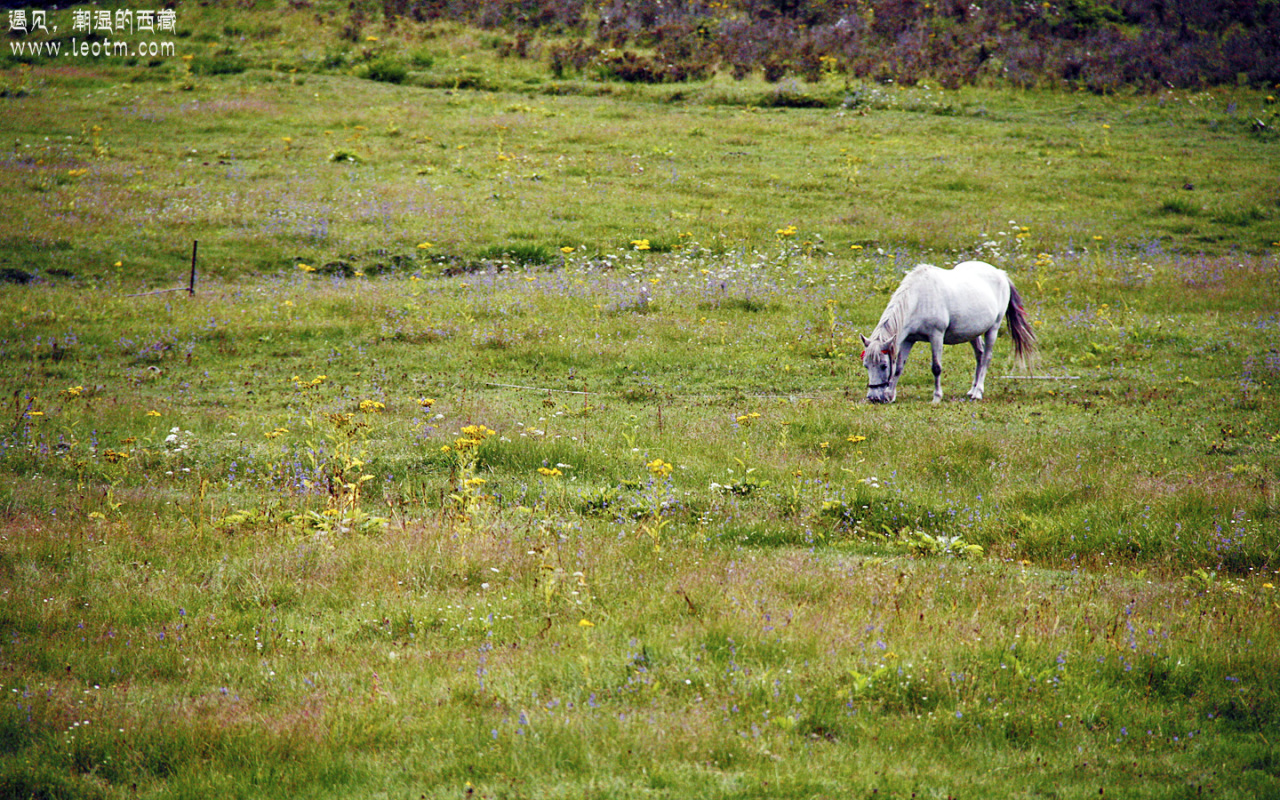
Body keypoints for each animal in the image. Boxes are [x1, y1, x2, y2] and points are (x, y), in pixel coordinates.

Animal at [860, 260, 1035, 404]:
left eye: (883, 365)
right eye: (866, 365)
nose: (874, 398)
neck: (918, 298)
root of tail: (1001, 274)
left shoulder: (936, 335)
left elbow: (936, 367)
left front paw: (937, 397)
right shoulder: (909, 339)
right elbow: (898, 368)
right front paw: (891, 395)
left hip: (993, 329)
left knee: (986, 357)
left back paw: (978, 392)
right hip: (973, 332)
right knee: (979, 354)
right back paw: (972, 389)